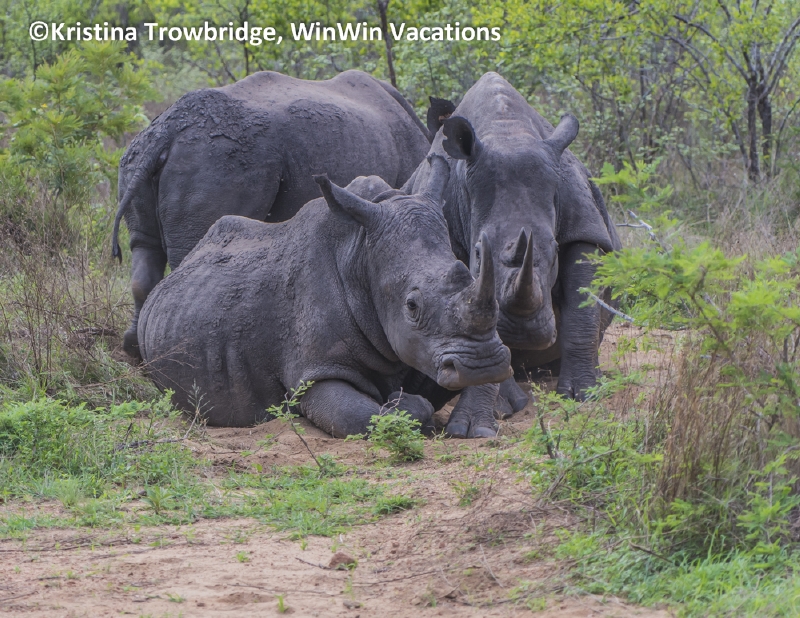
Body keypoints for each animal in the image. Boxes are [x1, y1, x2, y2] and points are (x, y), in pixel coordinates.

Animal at [136, 158, 513, 436]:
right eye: (412, 305)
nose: (483, 364)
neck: (359, 254)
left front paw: (475, 426)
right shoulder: (316, 371)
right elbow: (359, 417)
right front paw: (400, 404)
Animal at [404, 73, 621, 437]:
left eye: (555, 252)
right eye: (478, 254)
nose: (525, 332)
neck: (506, 131)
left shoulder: (584, 225)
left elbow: (582, 304)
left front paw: (584, 393)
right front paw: (474, 428)